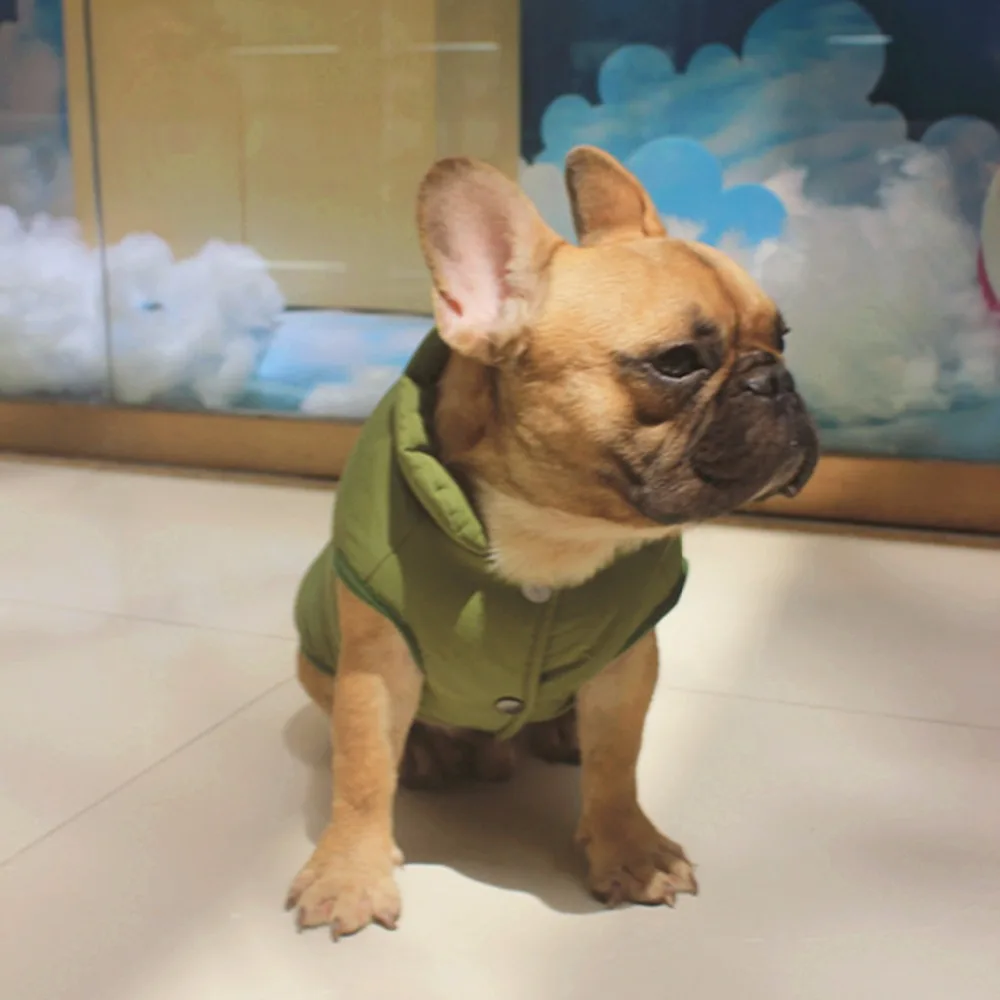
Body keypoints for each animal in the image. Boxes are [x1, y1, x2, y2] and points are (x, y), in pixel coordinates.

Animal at [288, 146, 818, 939]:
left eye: (780, 337)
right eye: (677, 362)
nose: (777, 382)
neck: (552, 529)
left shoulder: (628, 664)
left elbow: (618, 763)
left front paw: (629, 850)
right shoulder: (376, 665)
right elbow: (360, 769)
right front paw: (349, 871)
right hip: (315, 662)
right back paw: (427, 752)